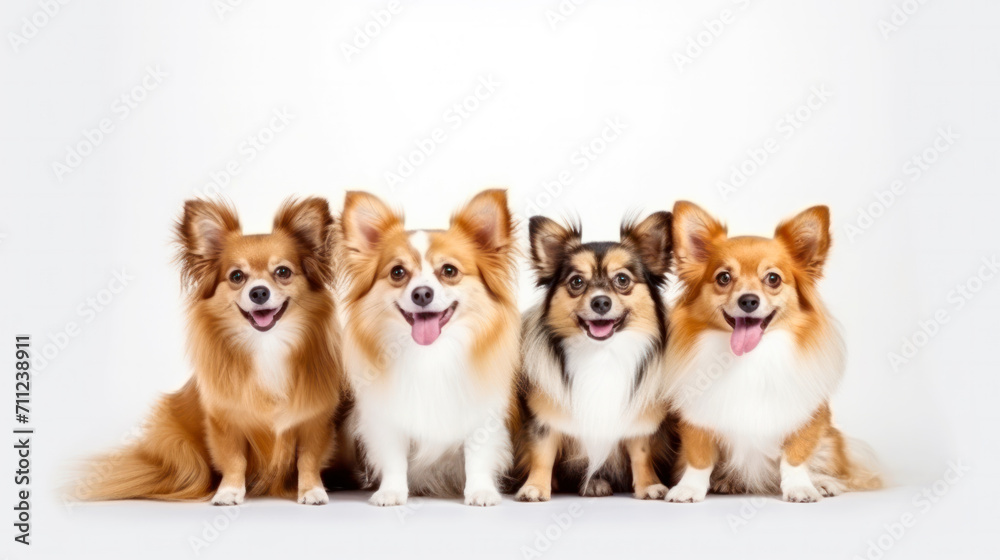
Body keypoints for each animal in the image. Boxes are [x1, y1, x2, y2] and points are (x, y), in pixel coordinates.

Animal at [80, 198, 344, 508]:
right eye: (237, 276)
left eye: (283, 272)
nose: (258, 292)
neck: (266, 344)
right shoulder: (225, 423)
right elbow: (234, 460)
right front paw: (228, 491)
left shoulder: (314, 422)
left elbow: (308, 459)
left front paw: (312, 490)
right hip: (181, 446)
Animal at [340, 188, 520, 508]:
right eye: (398, 272)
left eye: (449, 270)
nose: (422, 293)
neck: (430, 353)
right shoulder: (387, 419)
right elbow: (394, 458)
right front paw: (392, 492)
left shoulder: (482, 415)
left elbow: (478, 455)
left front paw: (480, 491)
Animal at [516, 212, 672, 500]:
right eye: (577, 282)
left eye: (622, 280)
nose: (601, 302)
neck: (602, 354)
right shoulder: (545, 417)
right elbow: (542, 454)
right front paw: (535, 487)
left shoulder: (638, 419)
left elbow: (641, 454)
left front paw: (648, 485)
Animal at [664, 200, 884, 504]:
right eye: (723, 278)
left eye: (773, 279)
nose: (748, 300)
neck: (750, 357)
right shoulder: (697, 420)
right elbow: (699, 458)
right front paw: (689, 489)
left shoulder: (805, 419)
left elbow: (795, 457)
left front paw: (800, 488)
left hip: (830, 440)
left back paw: (823, 483)